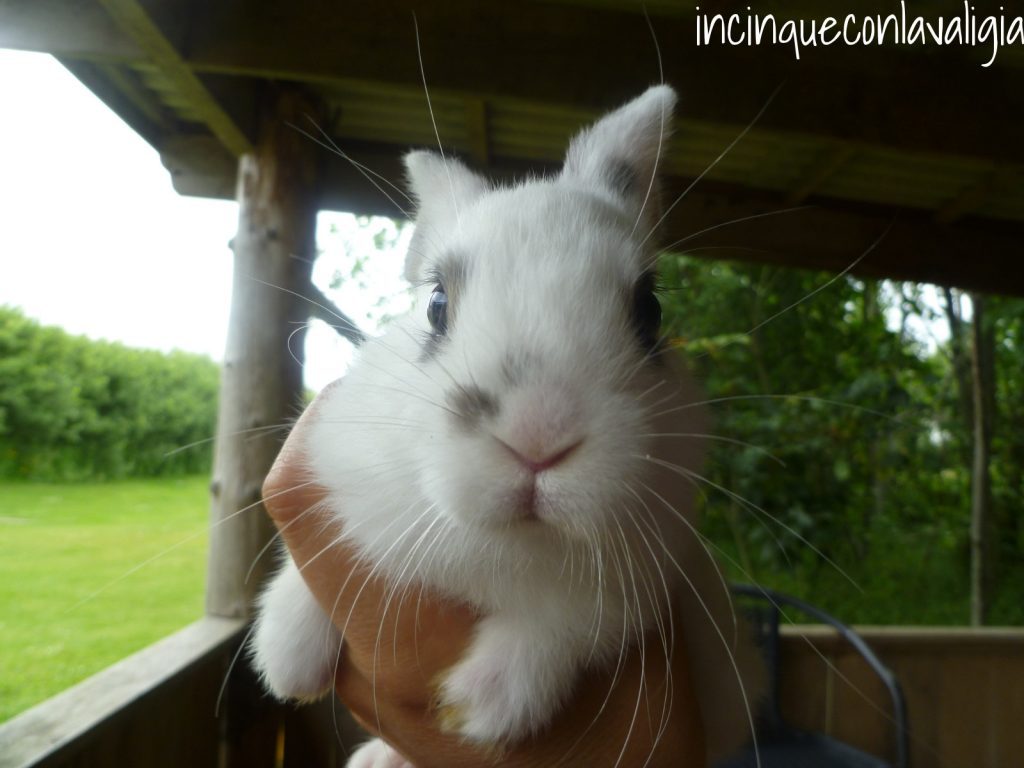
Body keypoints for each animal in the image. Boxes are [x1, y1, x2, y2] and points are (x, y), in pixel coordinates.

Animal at [251, 85, 764, 766]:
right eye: (436, 304)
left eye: (650, 311)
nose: (538, 437)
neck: (508, 542)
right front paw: (285, 657)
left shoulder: (639, 579)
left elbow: (569, 622)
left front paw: (482, 706)